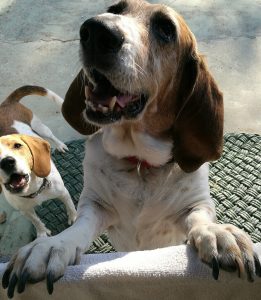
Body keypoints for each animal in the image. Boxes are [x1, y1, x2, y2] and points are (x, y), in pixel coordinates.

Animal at [0, 86, 76, 237]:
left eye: (18, 146)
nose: (6, 162)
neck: (34, 191)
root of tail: (6, 103)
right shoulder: (25, 211)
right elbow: (36, 221)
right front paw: (42, 232)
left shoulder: (63, 193)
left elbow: (70, 206)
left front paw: (73, 218)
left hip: (40, 127)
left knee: (51, 136)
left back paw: (60, 145)